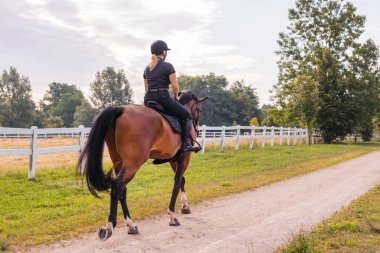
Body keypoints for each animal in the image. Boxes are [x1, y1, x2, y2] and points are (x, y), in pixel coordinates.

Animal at [78, 90, 208, 240]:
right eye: (199, 109)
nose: (196, 128)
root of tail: (121, 109)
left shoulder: (173, 159)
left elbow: (181, 180)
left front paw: (185, 207)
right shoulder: (185, 157)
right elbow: (177, 183)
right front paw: (172, 216)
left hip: (119, 161)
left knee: (122, 190)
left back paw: (131, 225)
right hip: (133, 164)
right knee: (117, 186)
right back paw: (110, 226)